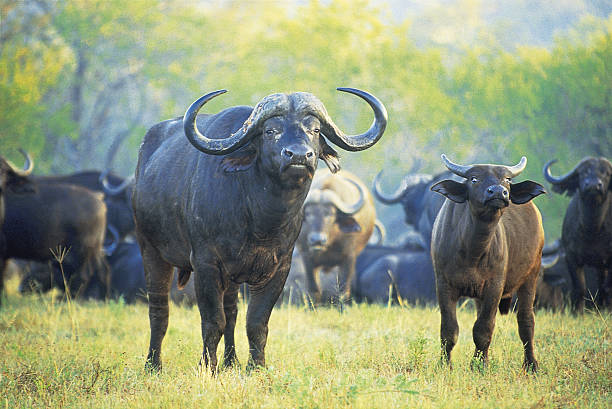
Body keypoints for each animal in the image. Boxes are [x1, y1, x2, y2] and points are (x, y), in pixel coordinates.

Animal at [298, 167, 378, 304]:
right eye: (308, 214)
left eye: (330, 214)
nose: (317, 240)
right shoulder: (306, 256)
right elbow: (314, 290)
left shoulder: (349, 258)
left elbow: (343, 290)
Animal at [430, 153, 544, 370]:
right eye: (474, 179)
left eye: (507, 180)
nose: (499, 192)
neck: (472, 251)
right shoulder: (443, 284)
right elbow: (449, 330)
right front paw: (445, 365)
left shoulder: (494, 287)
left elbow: (483, 329)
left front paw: (479, 366)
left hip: (531, 275)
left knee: (526, 321)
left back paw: (531, 364)